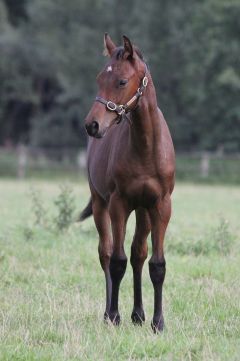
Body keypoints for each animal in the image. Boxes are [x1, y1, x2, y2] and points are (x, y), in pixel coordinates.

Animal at [80, 34, 174, 332]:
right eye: (99, 78)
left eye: (121, 81)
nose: (92, 125)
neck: (146, 148)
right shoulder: (118, 204)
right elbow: (117, 261)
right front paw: (113, 316)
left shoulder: (160, 206)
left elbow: (156, 264)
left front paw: (158, 322)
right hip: (100, 205)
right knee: (106, 254)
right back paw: (110, 313)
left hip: (143, 211)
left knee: (138, 254)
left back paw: (138, 314)